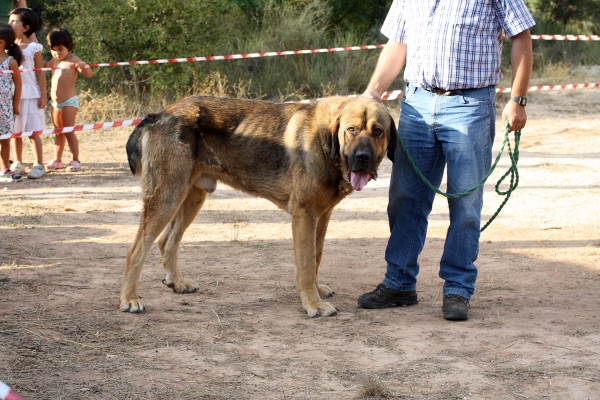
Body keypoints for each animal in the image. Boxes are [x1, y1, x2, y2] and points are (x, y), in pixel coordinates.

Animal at [119, 95, 396, 318]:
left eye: (378, 131)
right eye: (351, 129)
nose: (362, 158)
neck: (326, 143)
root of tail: (157, 115)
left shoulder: (322, 217)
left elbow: (316, 259)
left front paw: (316, 292)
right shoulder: (304, 215)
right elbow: (307, 265)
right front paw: (313, 304)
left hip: (192, 196)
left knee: (168, 240)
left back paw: (177, 282)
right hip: (168, 196)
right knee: (136, 250)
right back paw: (129, 298)